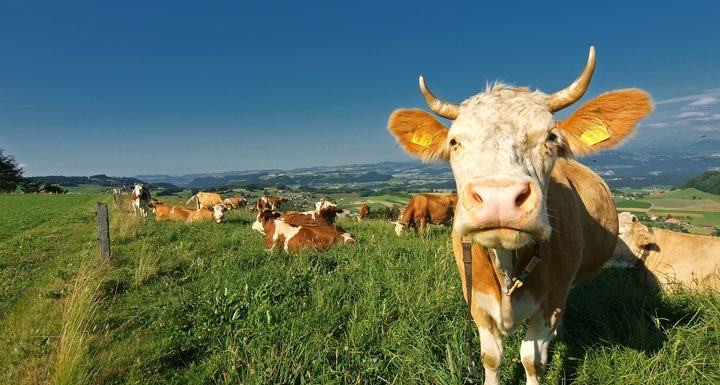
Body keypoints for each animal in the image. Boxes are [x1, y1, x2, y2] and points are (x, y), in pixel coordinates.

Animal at [386, 46, 656, 382]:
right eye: (454, 142)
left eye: (551, 137)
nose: (499, 199)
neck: (506, 264)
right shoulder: (476, 302)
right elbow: (491, 358)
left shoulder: (549, 305)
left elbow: (532, 360)